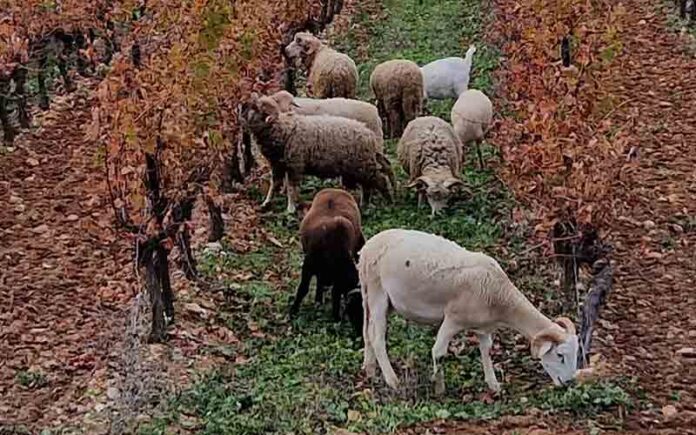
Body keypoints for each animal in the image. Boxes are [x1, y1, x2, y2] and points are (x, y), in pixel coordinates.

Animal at [241, 94, 394, 214]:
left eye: (256, 108)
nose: (241, 110)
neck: (282, 128)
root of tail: (369, 133)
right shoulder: (277, 164)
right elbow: (274, 184)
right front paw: (266, 202)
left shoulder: (295, 164)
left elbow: (291, 187)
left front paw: (290, 208)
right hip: (359, 166)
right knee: (367, 185)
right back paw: (365, 204)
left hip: (363, 164)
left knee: (380, 179)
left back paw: (388, 200)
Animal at [356, 230, 580, 394]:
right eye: (560, 355)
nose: (569, 382)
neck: (500, 295)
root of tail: (366, 250)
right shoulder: (453, 319)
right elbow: (438, 352)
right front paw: (439, 389)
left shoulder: (484, 327)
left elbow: (486, 350)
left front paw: (493, 385)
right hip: (377, 293)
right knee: (377, 337)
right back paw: (392, 380)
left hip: (370, 296)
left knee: (366, 332)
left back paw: (370, 370)